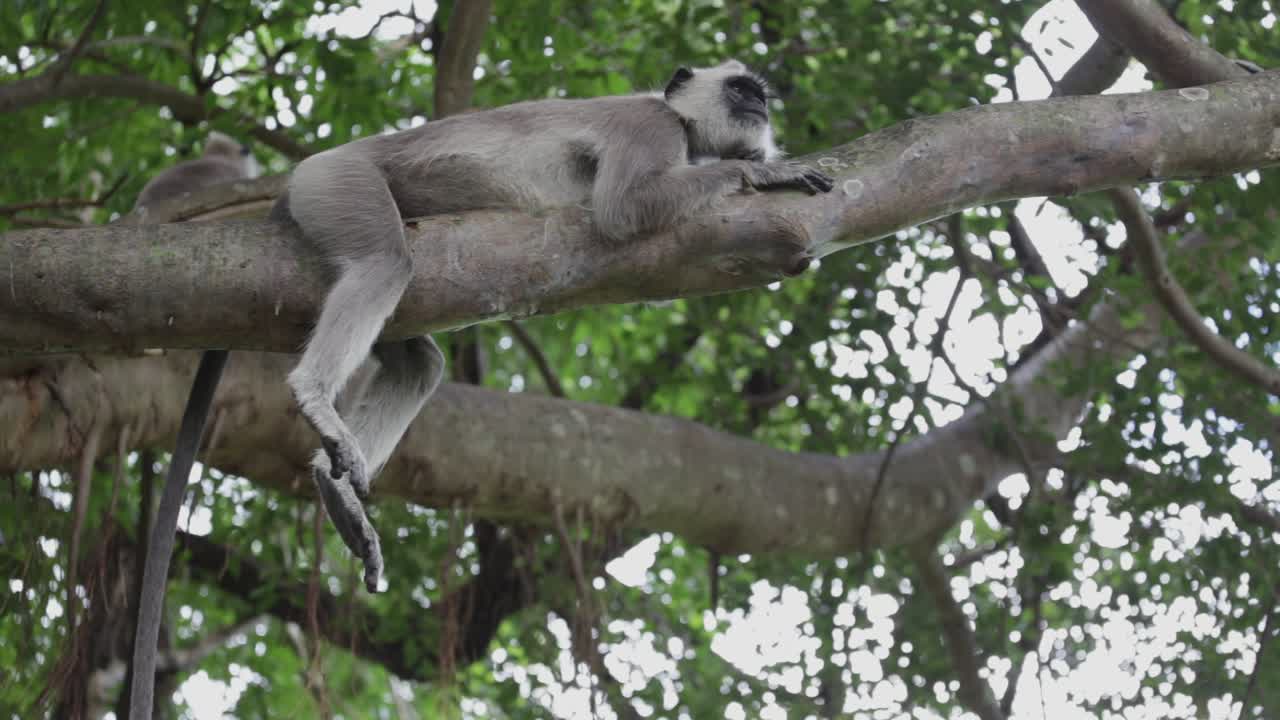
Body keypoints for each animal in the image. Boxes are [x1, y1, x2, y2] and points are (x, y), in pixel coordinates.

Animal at [271, 59, 833, 596]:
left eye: (759, 94)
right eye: (740, 90)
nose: (759, 105)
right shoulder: (650, 125)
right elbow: (623, 209)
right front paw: (762, 172)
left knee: (418, 364)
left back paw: (337, 487)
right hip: (338, 180)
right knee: (384, 263)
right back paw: (315, 396)